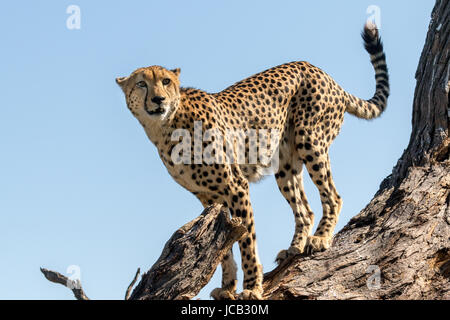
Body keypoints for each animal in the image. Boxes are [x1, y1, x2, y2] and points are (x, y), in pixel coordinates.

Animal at [117, 23, 390, 300]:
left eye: (166, 81)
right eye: (141, 84)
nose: (159, 99)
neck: (165, 128)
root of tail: (322, 73)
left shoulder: (236, 187)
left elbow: (247, 240)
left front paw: (251, 287)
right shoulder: (209, 198)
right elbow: (222, 249)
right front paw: (227, 287)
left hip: (311, 141)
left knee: (333, 195)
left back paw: (321, 239)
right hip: (285, 165)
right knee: (304, 209)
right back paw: (294, 247)